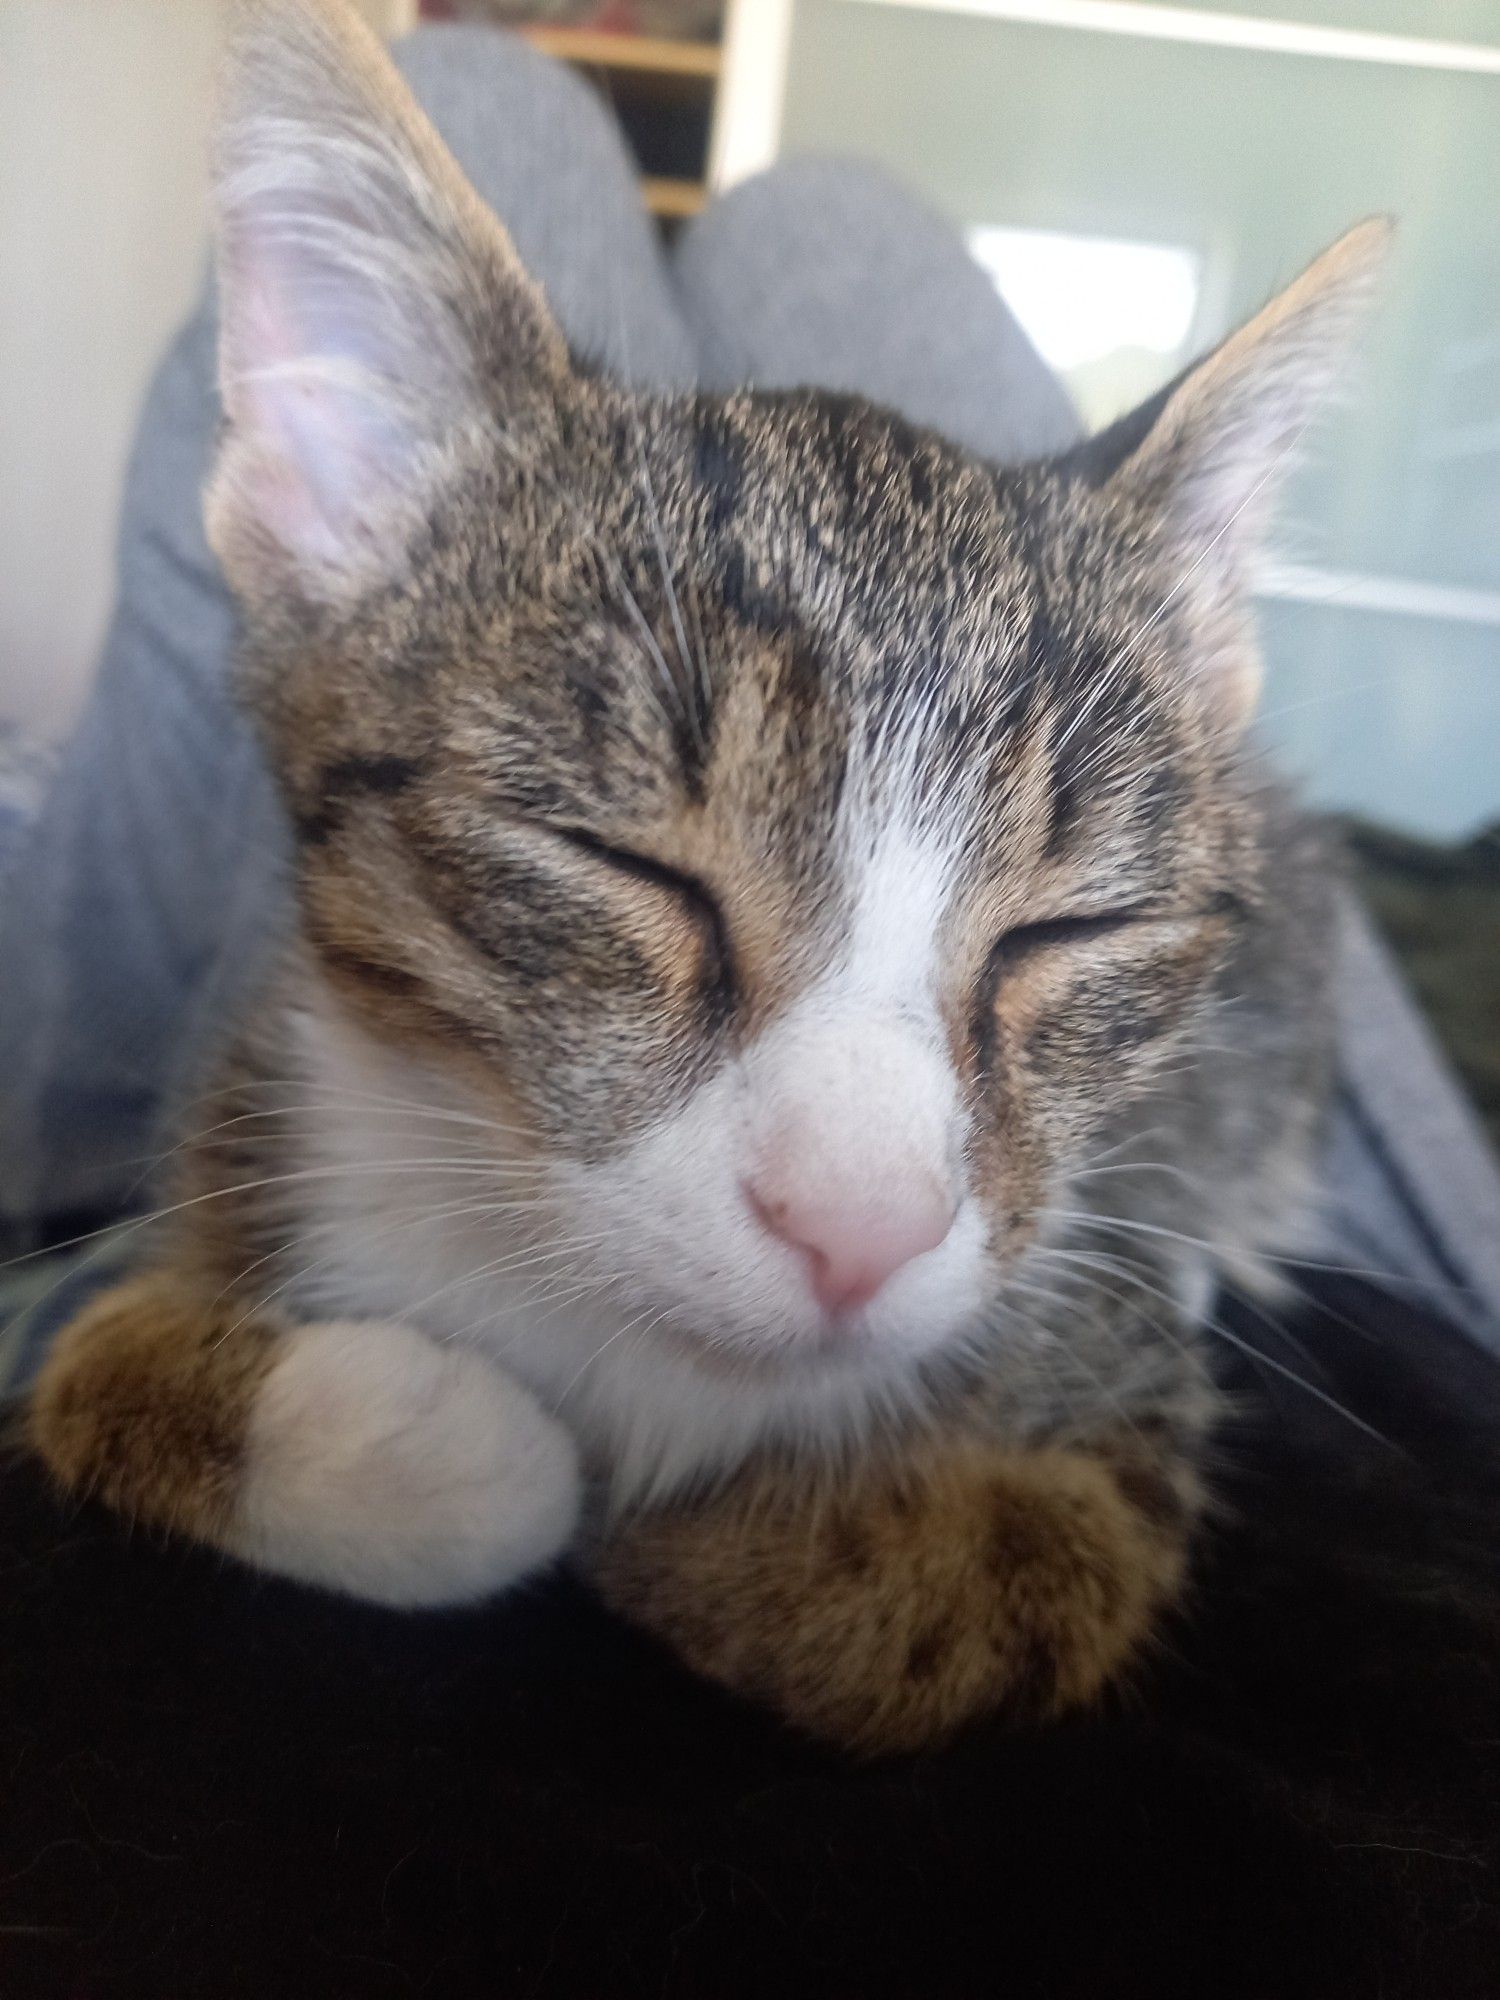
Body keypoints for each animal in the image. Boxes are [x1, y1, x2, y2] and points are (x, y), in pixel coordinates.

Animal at [32, 0, 1384, 1752]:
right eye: (621, 865)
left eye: (1071, 930)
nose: (862, 1231)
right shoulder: (253, 1107)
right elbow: (88, 1361)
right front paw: (437, 1446)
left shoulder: (1114, 1374)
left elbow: (970, 1582)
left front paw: (680, 1528)